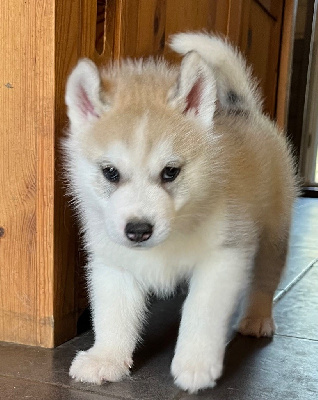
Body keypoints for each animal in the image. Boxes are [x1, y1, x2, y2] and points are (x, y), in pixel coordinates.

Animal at [63, 32, 296, 394]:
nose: (138, 230)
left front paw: (195, 365)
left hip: (274, 234)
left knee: (265, 279)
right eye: (110, 172)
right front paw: (106, 358)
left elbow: (201, 312)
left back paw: (257, 318)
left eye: (170, 172)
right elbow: (114, 313)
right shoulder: (113, 263)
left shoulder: (223, 258)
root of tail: (243, 111)